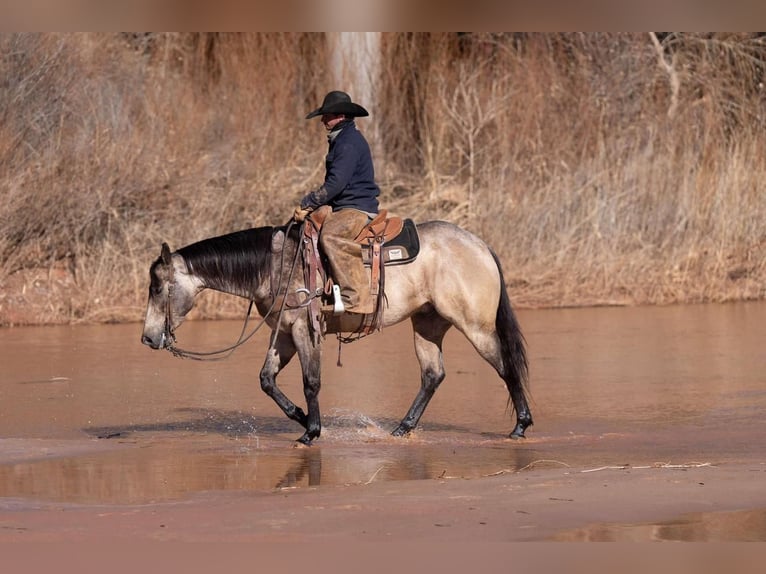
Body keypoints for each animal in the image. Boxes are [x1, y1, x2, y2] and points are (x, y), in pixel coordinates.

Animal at [141, 218, 536, 448]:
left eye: (158, 288)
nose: (147, 338)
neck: (275, 266)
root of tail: (479, 244)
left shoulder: (305, 330)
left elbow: (311, 382)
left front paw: (311, 431)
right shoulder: (283, 335)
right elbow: (267, 380)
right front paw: (302, 417)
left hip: (475, 324)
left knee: (505, 366)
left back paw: (520, 426)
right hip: (427, 323)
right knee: (432, 375)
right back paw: (401, 429)